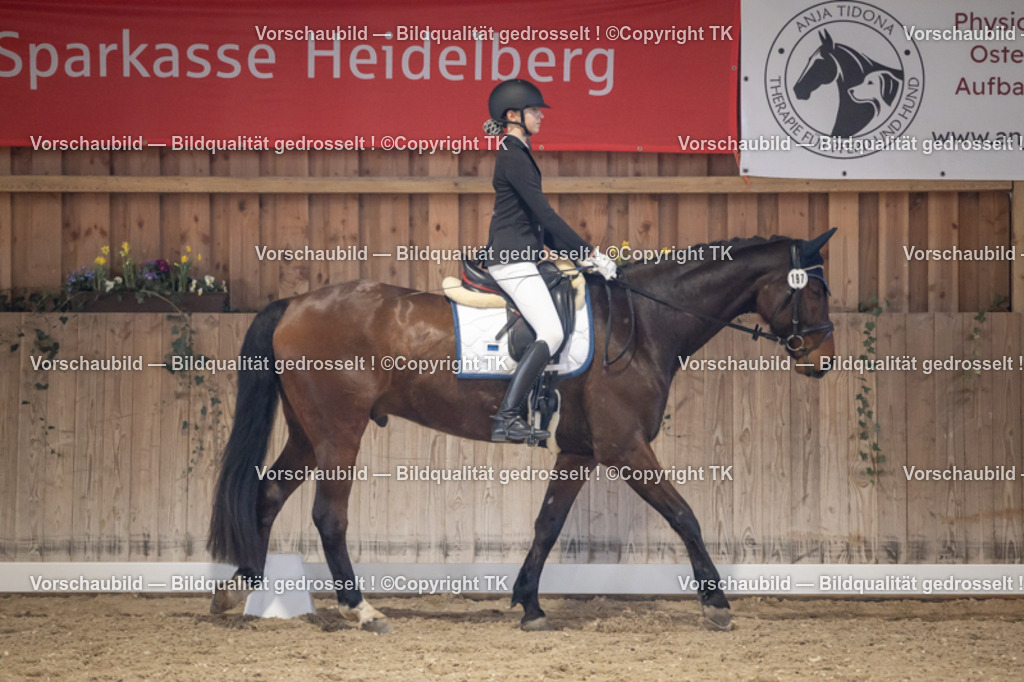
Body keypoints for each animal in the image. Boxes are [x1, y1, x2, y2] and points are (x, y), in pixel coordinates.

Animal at [207, 229, 838, 633]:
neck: (643, 323)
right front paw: (716, 604)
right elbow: (685, 515)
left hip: (307, 434)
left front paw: (530, 605)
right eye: (813, 290)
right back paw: (361, 610)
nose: (823, 361)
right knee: (327, 516)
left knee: (266, 495)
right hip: (339, 433)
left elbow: (547, 524)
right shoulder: (625, 447)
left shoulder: (582, 451)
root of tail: (294, 304)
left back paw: (240, 591)